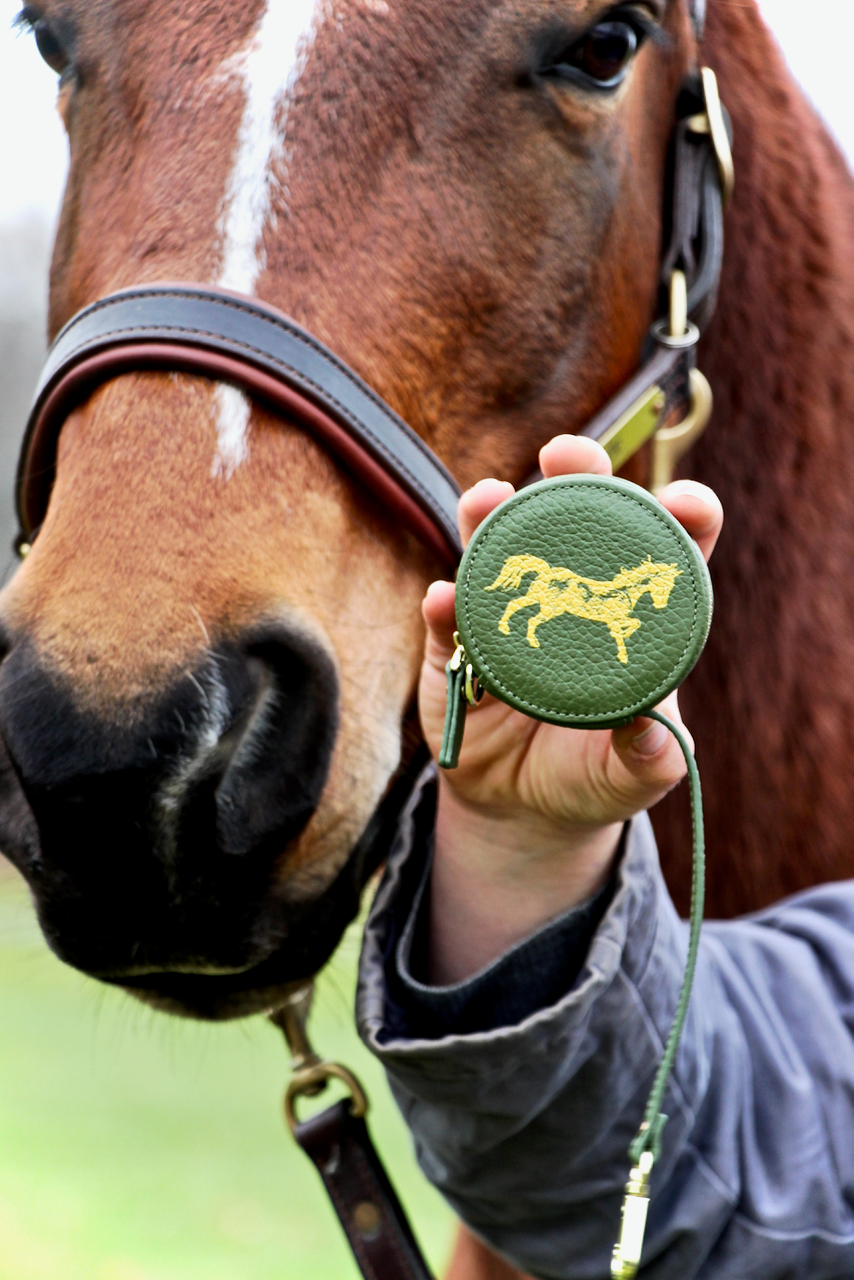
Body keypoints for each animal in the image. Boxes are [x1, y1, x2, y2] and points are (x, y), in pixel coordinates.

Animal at [486, 555, 681, 665]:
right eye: (664, 586)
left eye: (671, 587)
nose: (661, 605)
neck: (624, 592)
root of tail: (547, 572)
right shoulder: (612, 619)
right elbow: (627, 628)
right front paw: (623, 654)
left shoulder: (617, 619)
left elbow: (635, 623)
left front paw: (624, 636)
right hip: (549, 607)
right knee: (524, 613)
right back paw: (522, 637)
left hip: (543, 602)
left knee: (519, 608)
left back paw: (515, 633)